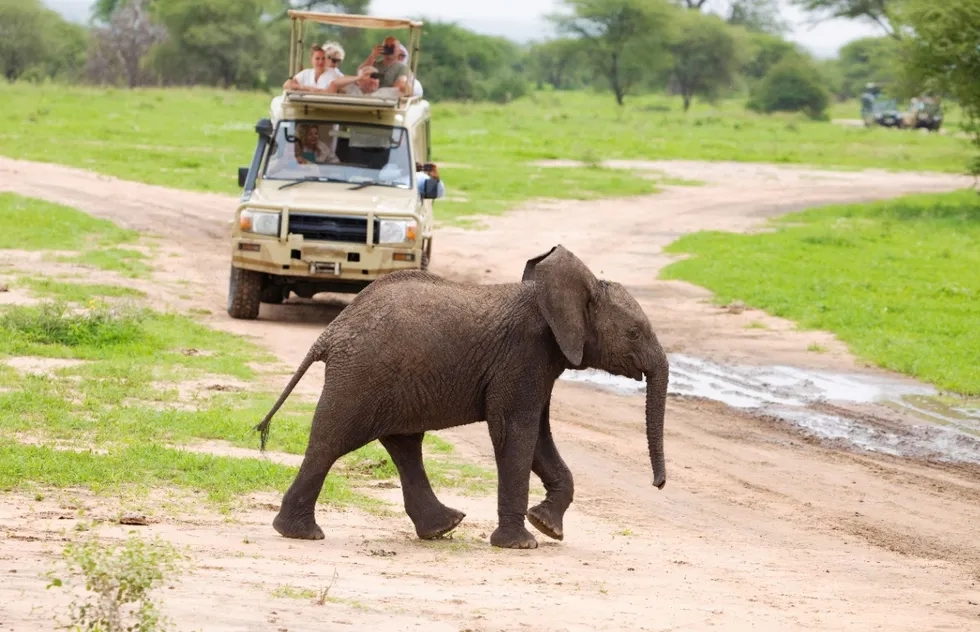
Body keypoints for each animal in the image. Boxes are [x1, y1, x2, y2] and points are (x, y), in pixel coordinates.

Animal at [253, 244, 669, 549]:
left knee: (404, 445)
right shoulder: (523, 356)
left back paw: (441, 527)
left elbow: (537, 435)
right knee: (332, 442)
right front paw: (521, 544)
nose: (658, 485)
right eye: (633, 333)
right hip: (361, 376)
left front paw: (548, 527)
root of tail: (330, 333)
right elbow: (516, 431)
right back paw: (302, 533)